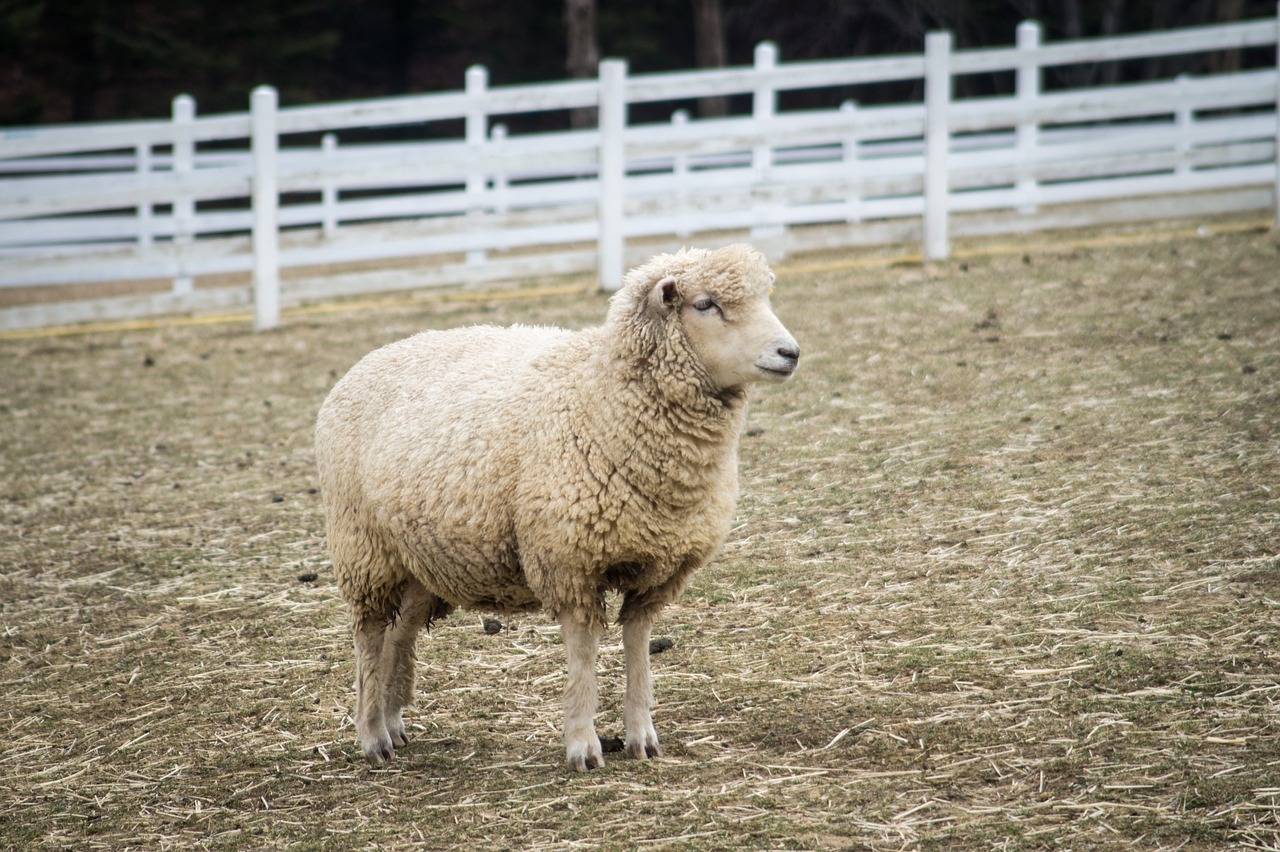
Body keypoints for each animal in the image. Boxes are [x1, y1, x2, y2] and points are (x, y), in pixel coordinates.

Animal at [314, 241, 798, 767]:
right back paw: (371, 735)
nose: (790, 352)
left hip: (423, 557)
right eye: (705, 304)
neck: (601, 398)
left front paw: (641, 736)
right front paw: (583, 744)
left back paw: (394, 721)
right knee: (369, 636)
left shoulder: (658, 569)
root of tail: (368, 359)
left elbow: (638, 645)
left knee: (399, 635)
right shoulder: (568, 560)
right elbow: (583, 654)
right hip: (364, 548)